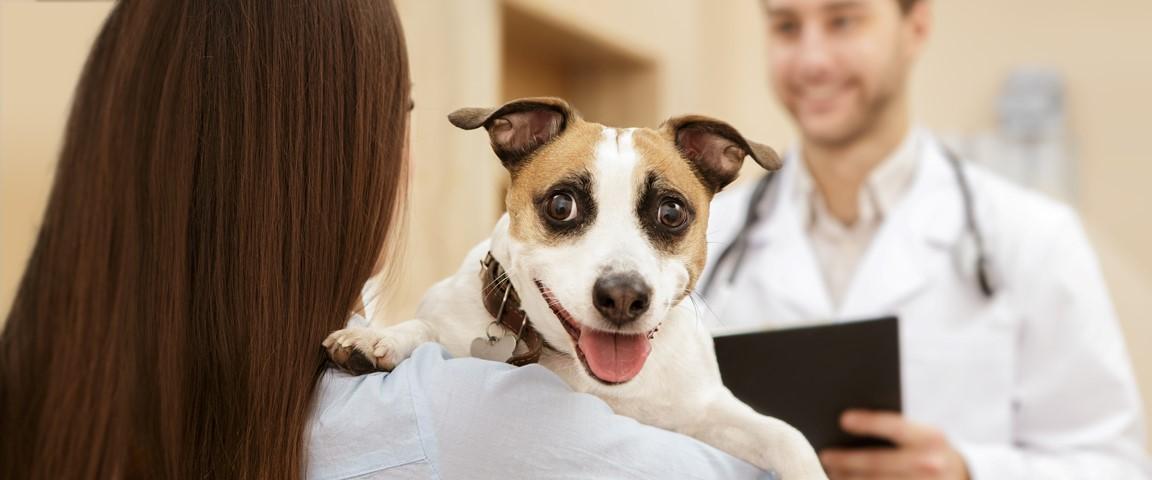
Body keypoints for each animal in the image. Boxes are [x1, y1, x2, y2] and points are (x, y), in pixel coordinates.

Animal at [324, 98, 829, 478]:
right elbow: (425, 328)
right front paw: (377, 337)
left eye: (670, 212)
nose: (623, 296)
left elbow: (786, 435)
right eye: (561, 205)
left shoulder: (707, 411)